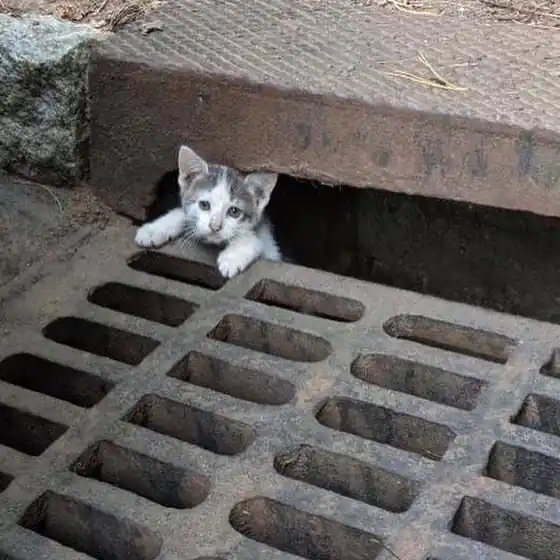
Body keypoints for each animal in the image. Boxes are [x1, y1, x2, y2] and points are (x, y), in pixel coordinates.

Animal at [135, 145, 282, 278]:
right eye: (204, 205)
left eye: (234, 211)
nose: (215, 226)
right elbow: (184, 214)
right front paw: (154, 230)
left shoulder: (271, 249)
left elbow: (256, 240)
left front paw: (232, 257)